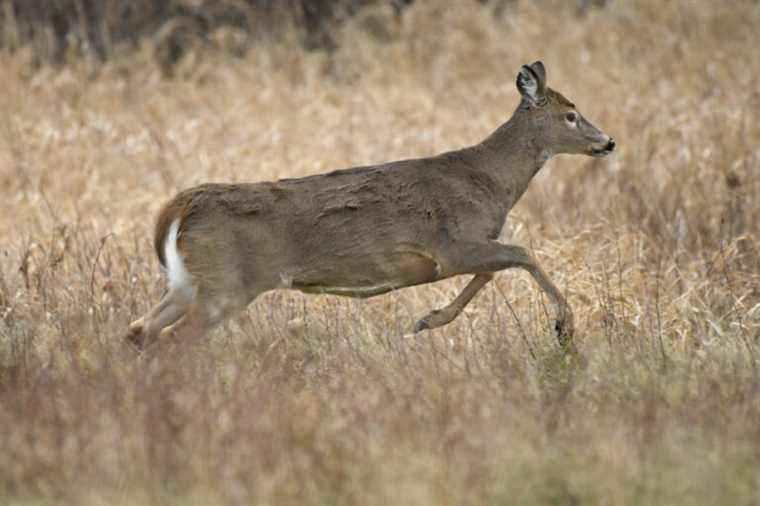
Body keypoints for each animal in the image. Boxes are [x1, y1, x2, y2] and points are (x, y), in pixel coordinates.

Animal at [126, 61, 612, 354]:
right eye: (571, 115)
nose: (608, 141)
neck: (492, 181)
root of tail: (177, 208)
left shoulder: (464, 249)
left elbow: (494, 270)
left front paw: (429, 319)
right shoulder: (452, 243)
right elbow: (522, 254)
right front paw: (564, 328)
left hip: (190, 281)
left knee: (139, 329)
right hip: (227, 284)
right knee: (169, 339)